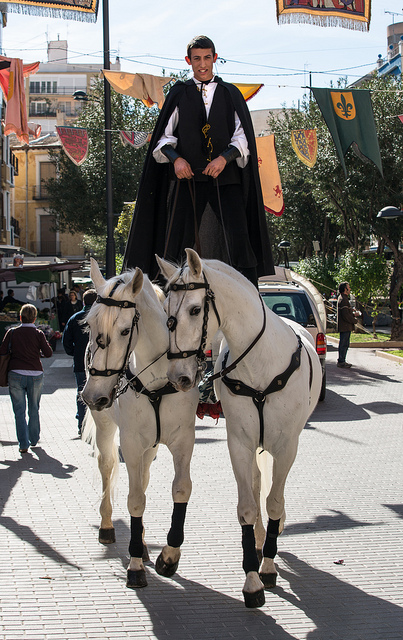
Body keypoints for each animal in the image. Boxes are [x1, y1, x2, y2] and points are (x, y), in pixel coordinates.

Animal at [81, 258, 199, 589]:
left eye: (124, 330)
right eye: (90, 325)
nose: (93, 395)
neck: (157, 380)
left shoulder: (183, 440)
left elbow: (180, 489)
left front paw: (169, 556)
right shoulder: (131, 443)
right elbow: (134, 500)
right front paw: (134, 564)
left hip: (151, 445)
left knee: (144, 479)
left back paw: (145, 544)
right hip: (107, 427)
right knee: (107, 465)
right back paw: (108, 525)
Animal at [156, 249, 322, 608]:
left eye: (194, 309)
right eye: (165, 311)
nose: (177, 376)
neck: (260, 363)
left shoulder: (286, 445)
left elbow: (274, 502)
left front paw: (269, 566)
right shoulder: (240, 444)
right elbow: (247, 506)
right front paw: (252, 579)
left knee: (272, 491)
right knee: (259, 483)